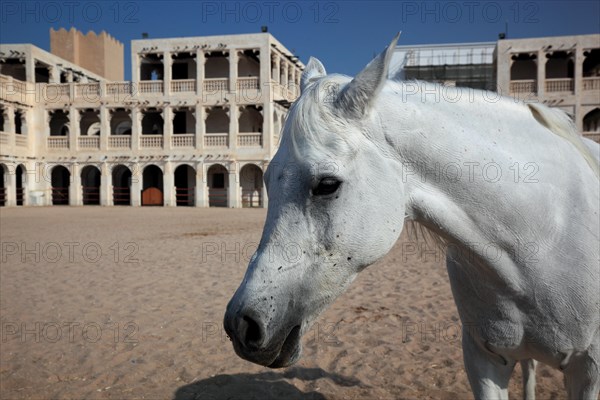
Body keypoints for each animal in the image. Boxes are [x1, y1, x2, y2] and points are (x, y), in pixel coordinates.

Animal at [225, 35, 600, 400]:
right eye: (266, 179)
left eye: (327, 184)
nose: (240, 326)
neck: (541, 238)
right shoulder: (484, 358)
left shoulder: (588, 371)